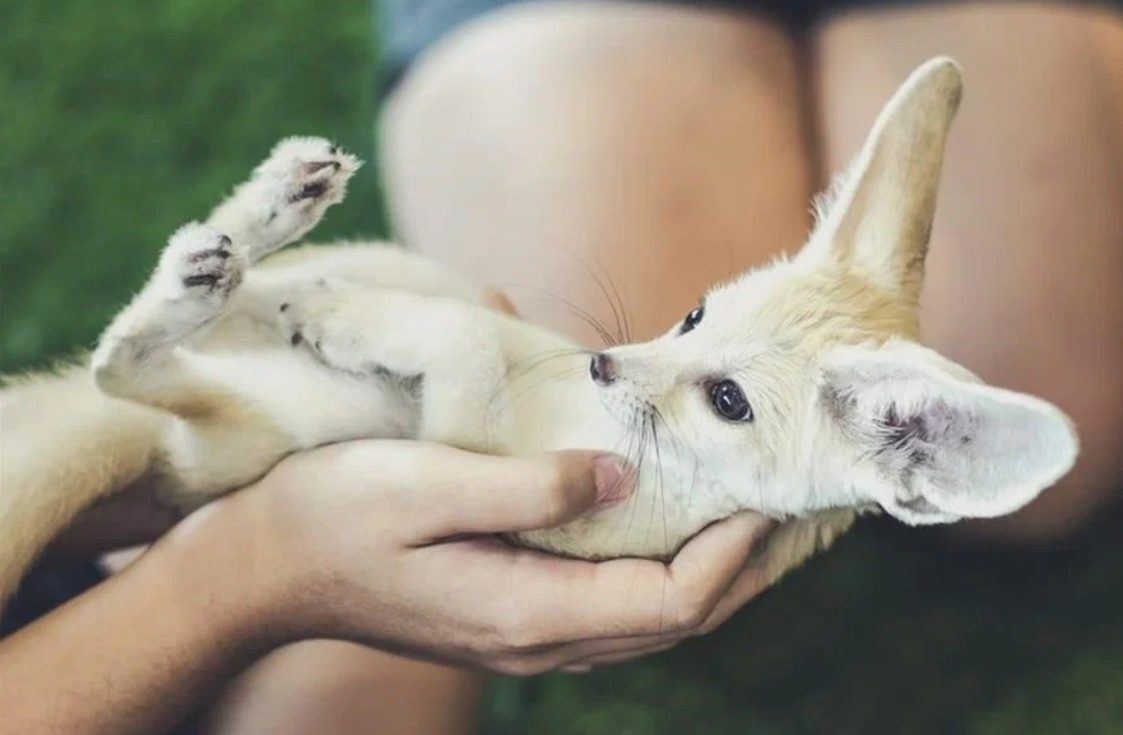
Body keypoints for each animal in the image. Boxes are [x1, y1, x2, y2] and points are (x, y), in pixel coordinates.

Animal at [0, 59, 1078, 611]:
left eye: (726, 401)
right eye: (695, 314)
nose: (603, 360)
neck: (580, 422)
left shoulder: (484, 463)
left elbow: (459, 347)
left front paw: (340, 317)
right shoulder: (493, 321)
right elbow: (451, 317)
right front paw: (311, 293)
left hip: (243, 440)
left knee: (123, 372)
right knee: (175, 333)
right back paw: (261, 225)